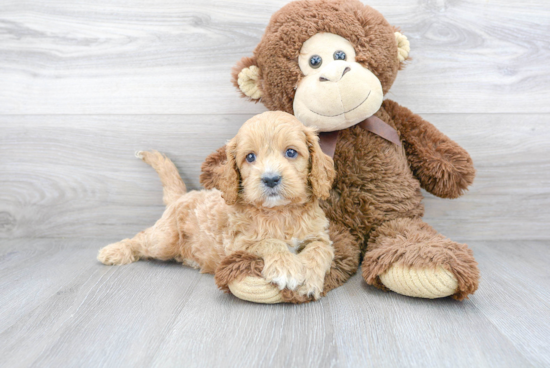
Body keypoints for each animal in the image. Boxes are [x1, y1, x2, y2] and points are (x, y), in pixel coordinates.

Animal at [99, 110, 336, 300]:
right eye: (250, 157)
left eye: (291, 152)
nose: (270, 179)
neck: (281, 212)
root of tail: (181, 196)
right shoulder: (239, 243)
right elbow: (269, 241)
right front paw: (286, 267)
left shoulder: (319, 235)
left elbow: (320, 250)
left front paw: (309, 278)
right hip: (164, 240)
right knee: (141, 238)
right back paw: (114, 251)